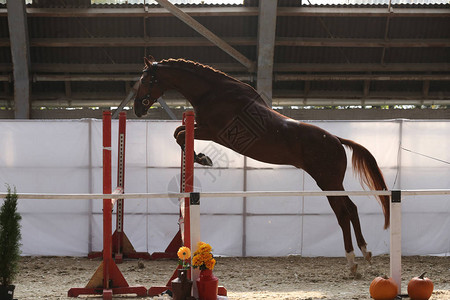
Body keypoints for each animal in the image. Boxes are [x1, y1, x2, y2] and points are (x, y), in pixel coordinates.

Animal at [134, 56, 390, 274]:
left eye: (145, 80)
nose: (138, 109)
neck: (213, 92)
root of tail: (337, 140)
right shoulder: (203, 128)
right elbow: (178, 132)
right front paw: (201, 157)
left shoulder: (212, 131)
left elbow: (179, 134)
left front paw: (202, 158)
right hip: (333, 182)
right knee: (352, 209)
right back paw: (365, 253)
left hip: (327, 182)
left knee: (343, 213)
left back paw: (352, 261)